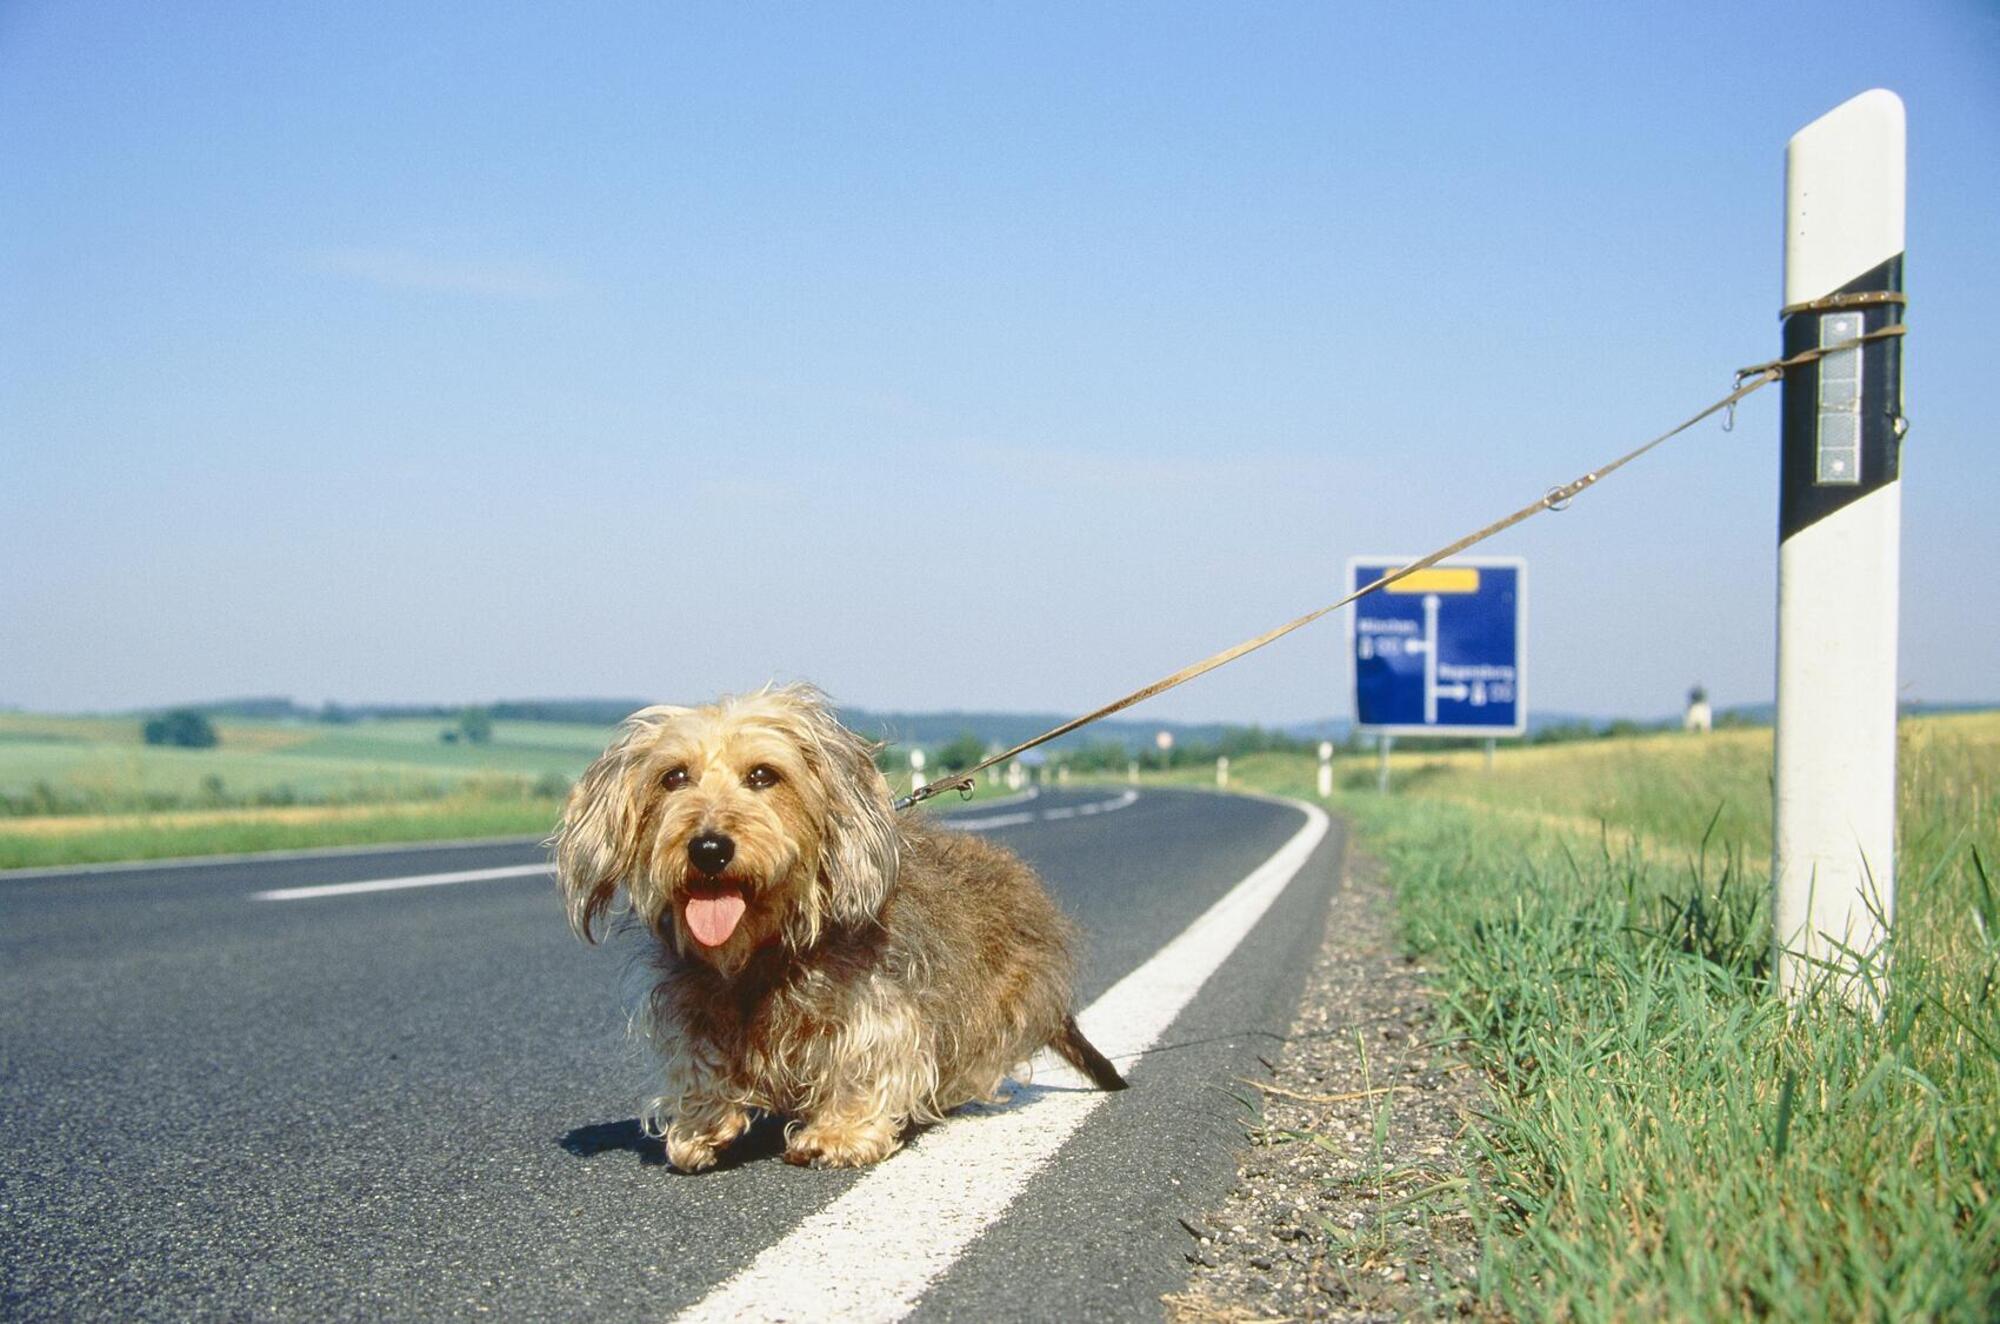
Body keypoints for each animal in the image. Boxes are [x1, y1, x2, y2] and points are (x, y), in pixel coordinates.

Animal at [556, 684, 1128, 1176]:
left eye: (763, 775)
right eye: (673, 777)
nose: (709, 848)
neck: (764, 950)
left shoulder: (878, 1004)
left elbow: (865, 1059)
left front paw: (839, 1133)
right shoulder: (694, 1002)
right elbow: (700, 1061)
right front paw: (701, 1126)